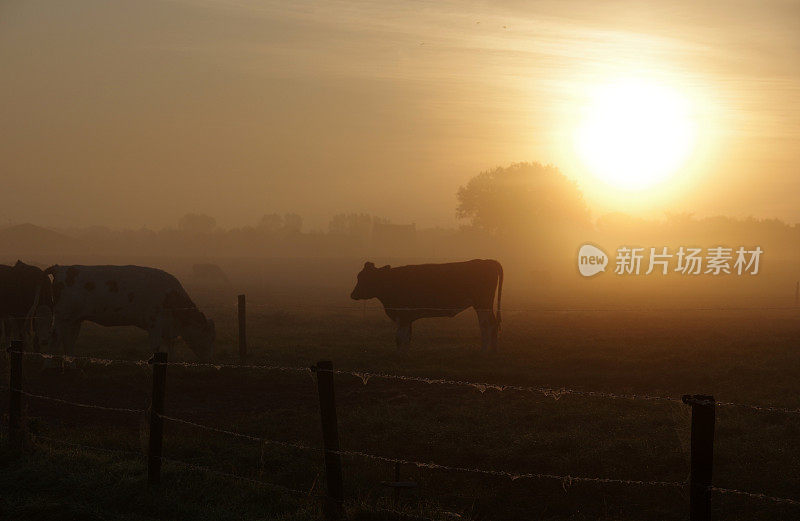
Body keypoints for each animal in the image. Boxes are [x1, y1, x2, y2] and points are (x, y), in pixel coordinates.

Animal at [47, 266, 214, 360]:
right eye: (207, 335)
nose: (209, 360)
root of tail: (61, 268)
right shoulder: (154, 323)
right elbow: (156, 346)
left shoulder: (168, 327)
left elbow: (170, 345)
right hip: (62, 316)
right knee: (54, 339)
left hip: (74, 319)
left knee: (69, 341)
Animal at [348, 258, 504, 350]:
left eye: (365, 277)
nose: (353, 294)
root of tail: (486, 261)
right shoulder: (407, 317)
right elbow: (406, 337)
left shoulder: (403, 315)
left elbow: (399, 337)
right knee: (493, 324)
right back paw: (493, 350)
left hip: (482, 304)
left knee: (487, 325)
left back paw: (485, 350)